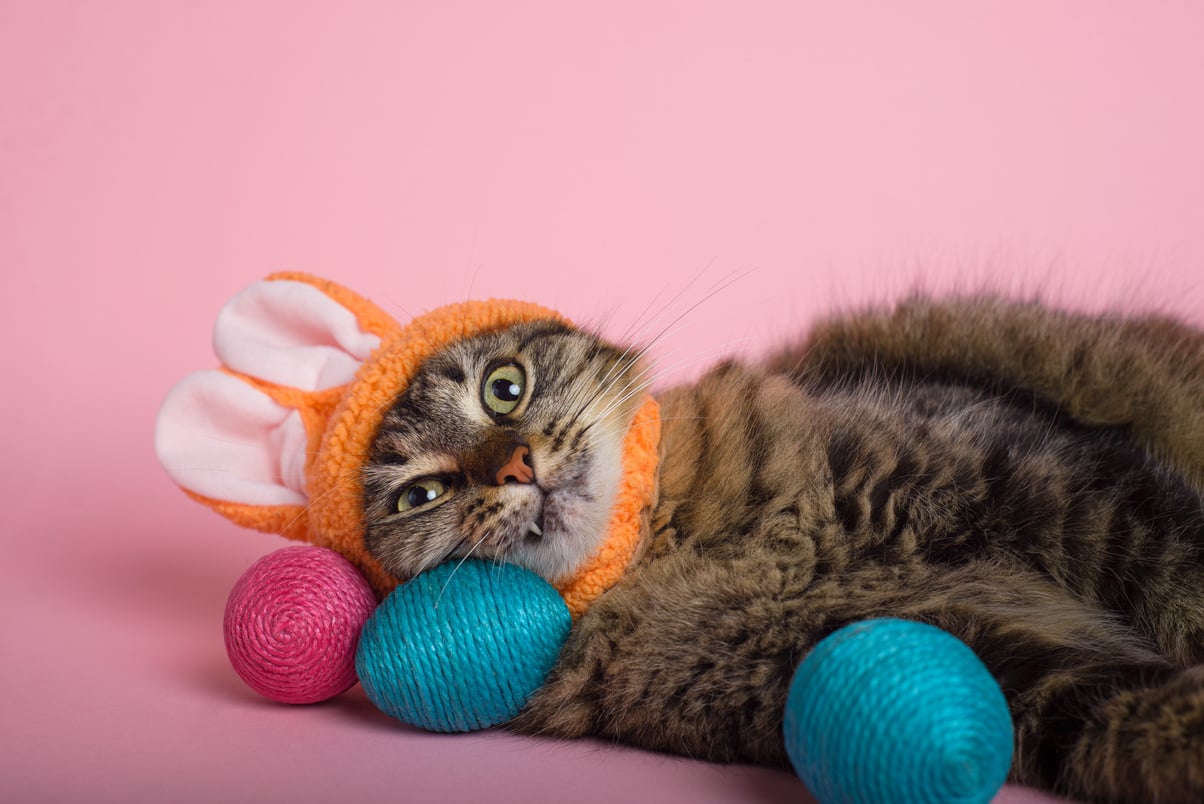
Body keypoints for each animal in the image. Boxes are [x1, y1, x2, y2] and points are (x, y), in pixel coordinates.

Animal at [356, 297, 1204, 804]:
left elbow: (1184, 590)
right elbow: (1144, 713)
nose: (514, 467)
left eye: (504, 388)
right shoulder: (990, 663)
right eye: (421, 496)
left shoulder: (1058, 487)